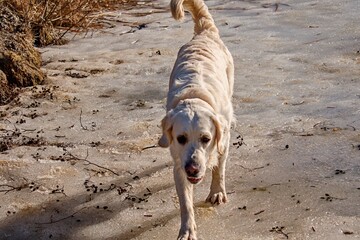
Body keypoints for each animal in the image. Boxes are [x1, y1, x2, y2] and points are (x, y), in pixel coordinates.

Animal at [160, 0, 233, 238]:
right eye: (181, 138)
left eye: (206, 139)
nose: (192, 168)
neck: (194, 95)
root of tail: (204, 33)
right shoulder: (178, 164)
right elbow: (185, 203)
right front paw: (187, 230)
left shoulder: (223, 140)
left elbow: (219, 169)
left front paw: (217, 192)